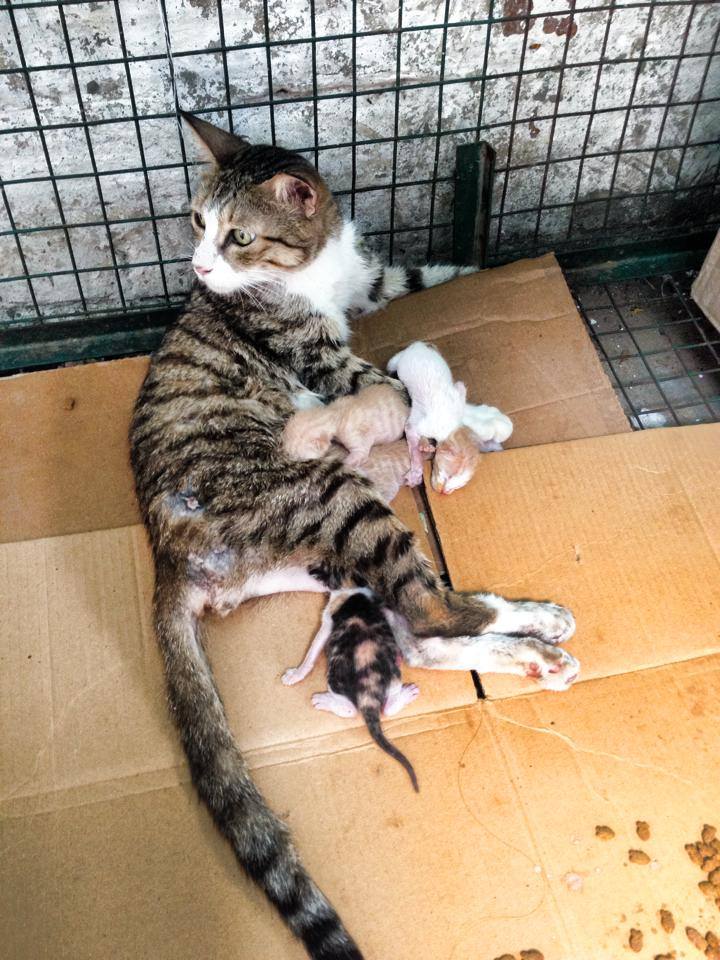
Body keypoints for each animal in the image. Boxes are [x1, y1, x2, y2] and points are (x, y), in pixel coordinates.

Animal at [278, 588, 420, 792]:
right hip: (393, 675)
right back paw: (405, 695)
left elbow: (314, 648)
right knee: (387, 707)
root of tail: (368, 693)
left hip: (335, 672)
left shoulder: (331, 611)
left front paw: (296, 673)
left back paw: (324, 701)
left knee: (351, 709)